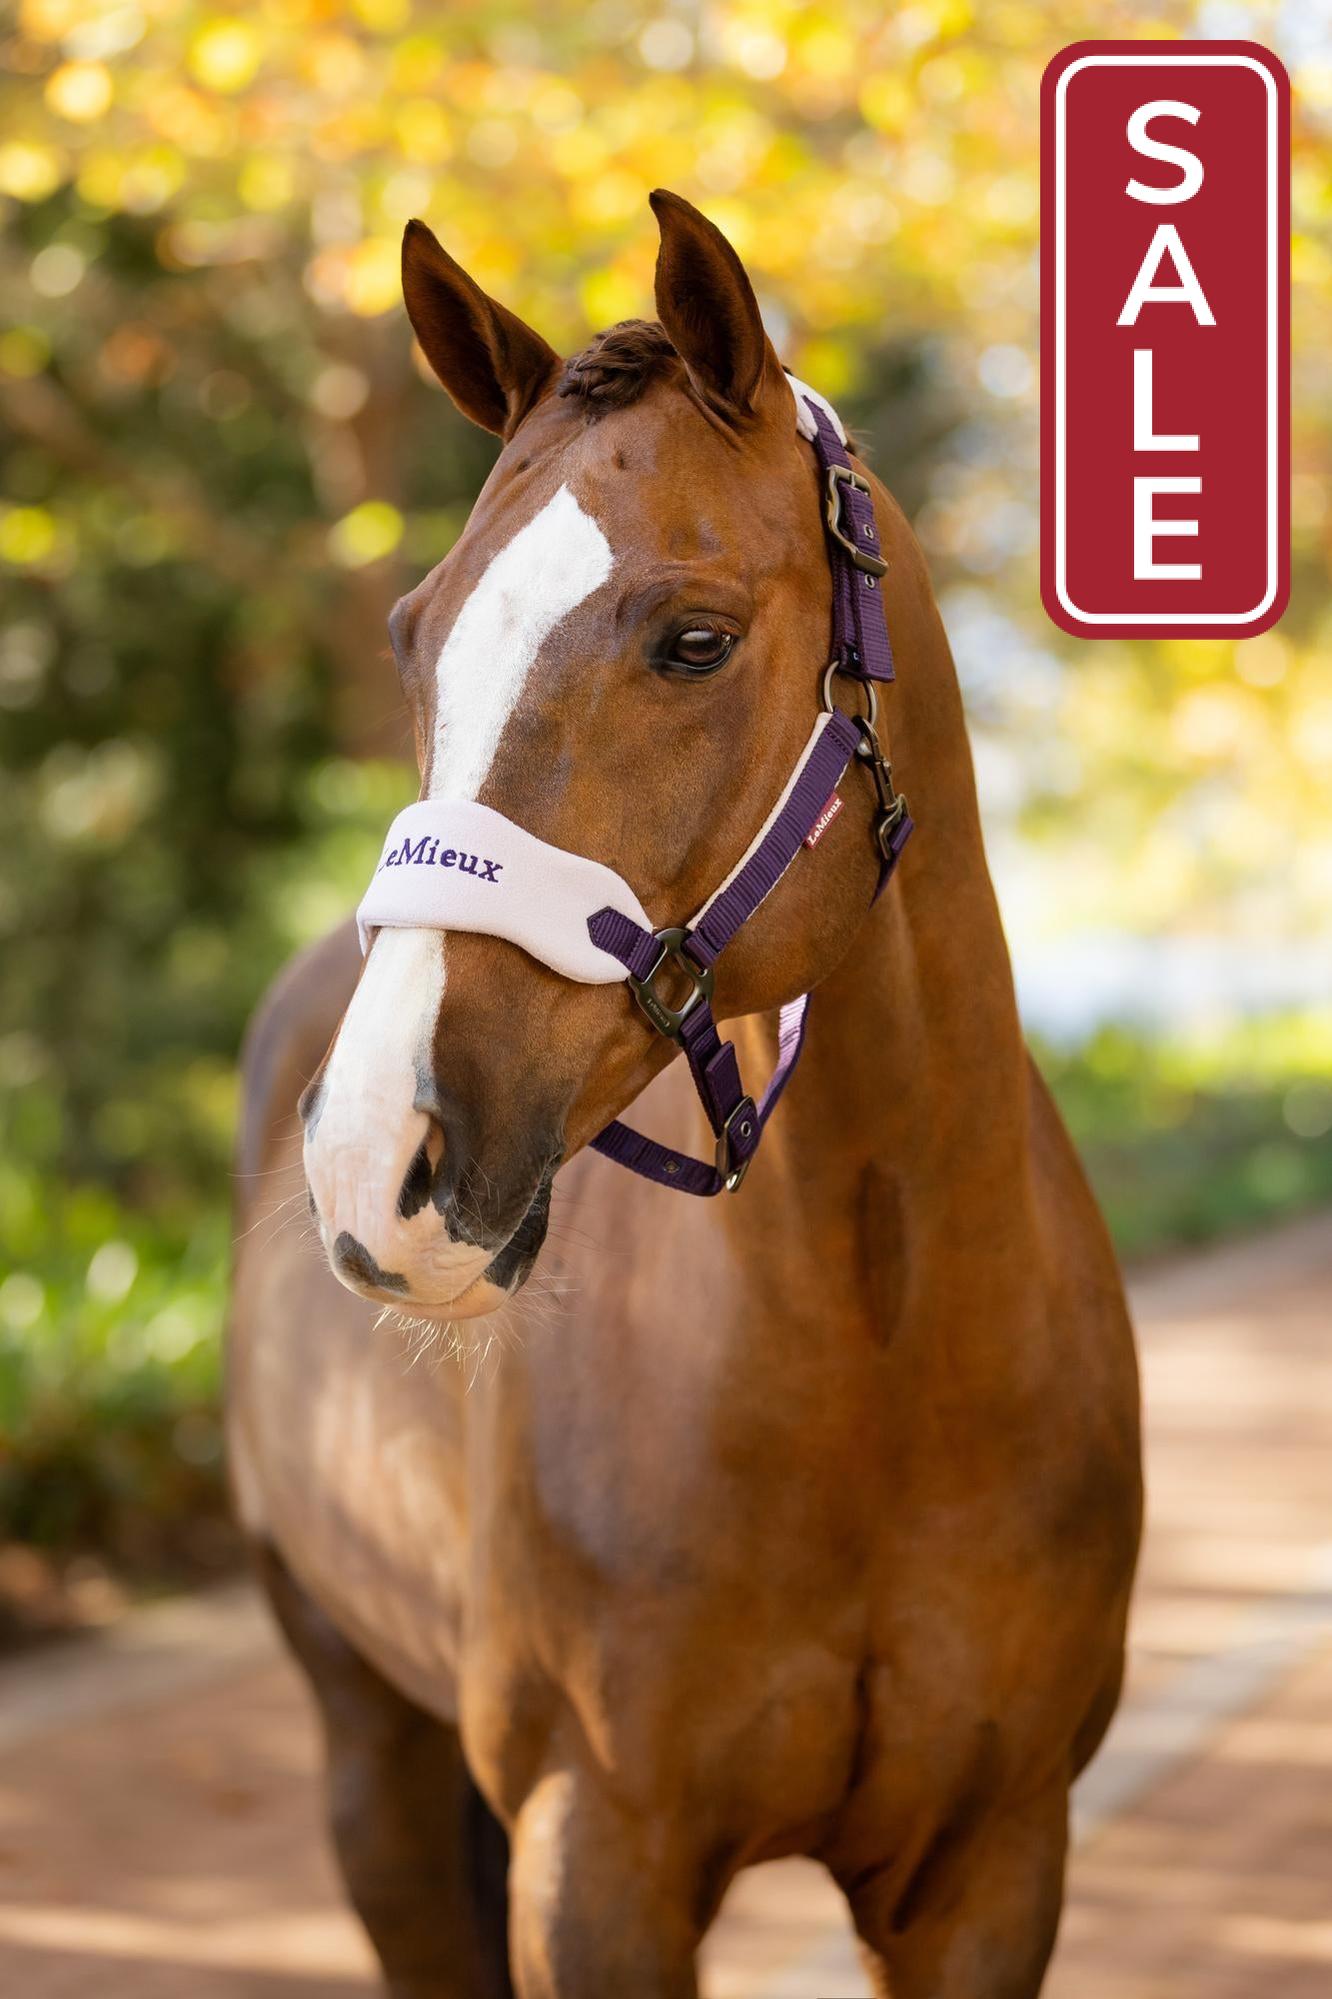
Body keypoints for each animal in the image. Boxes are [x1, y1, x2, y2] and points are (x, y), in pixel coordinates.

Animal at [229, 189, 1141, 1999]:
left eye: (694, 638)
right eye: (412, 636)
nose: (373, 1157)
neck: (882, 1348)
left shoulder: (996, 1860)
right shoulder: (599, 1861)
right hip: (369, 1745)